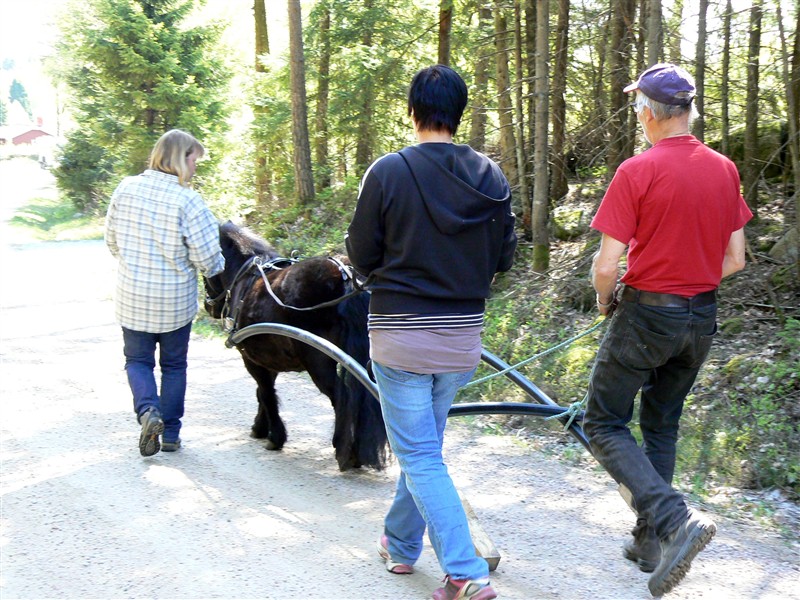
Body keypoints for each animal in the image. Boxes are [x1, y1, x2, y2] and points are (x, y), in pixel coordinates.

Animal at [205, 223, 390, 472]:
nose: (208, 306)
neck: (245, 279)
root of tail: (347, 275)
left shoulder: (251, 360)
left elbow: (265, 393)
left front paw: (275, 437)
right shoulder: (268, 360)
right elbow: (263, 393)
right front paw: (260, 427)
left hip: (319, 361)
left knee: (342, 397)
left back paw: (346, 451)